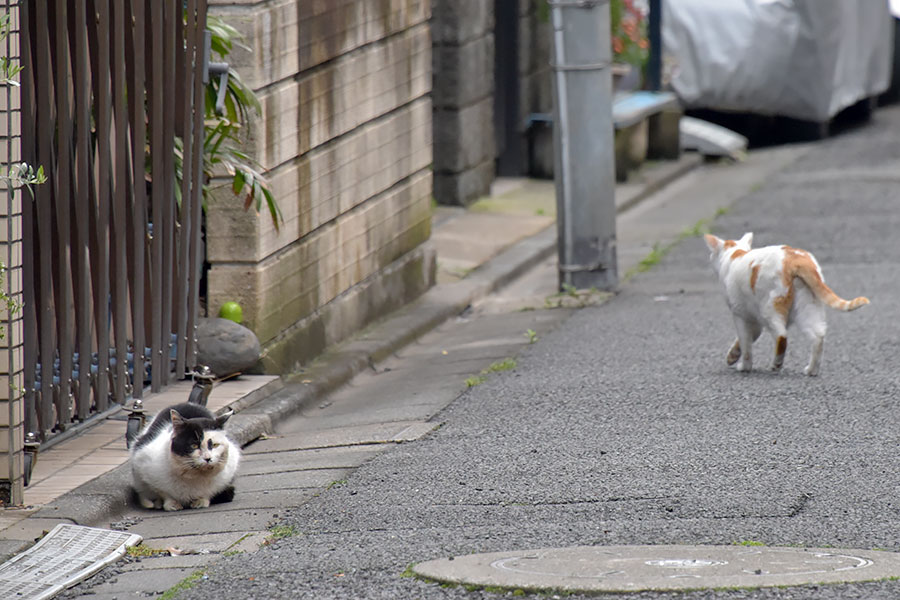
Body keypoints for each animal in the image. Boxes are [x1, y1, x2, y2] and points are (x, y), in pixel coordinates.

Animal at [708, 233, 868, 378]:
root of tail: (796, 259)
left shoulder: (740, 314)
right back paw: (812, 370)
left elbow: (746, 343)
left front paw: (744, 366)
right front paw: (732, 356)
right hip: (807, 309)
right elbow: (747, 339)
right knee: (818, 337)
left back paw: (776, 364)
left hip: (770, 309)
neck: (735, 254)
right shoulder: (754, 320)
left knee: (782, 336)